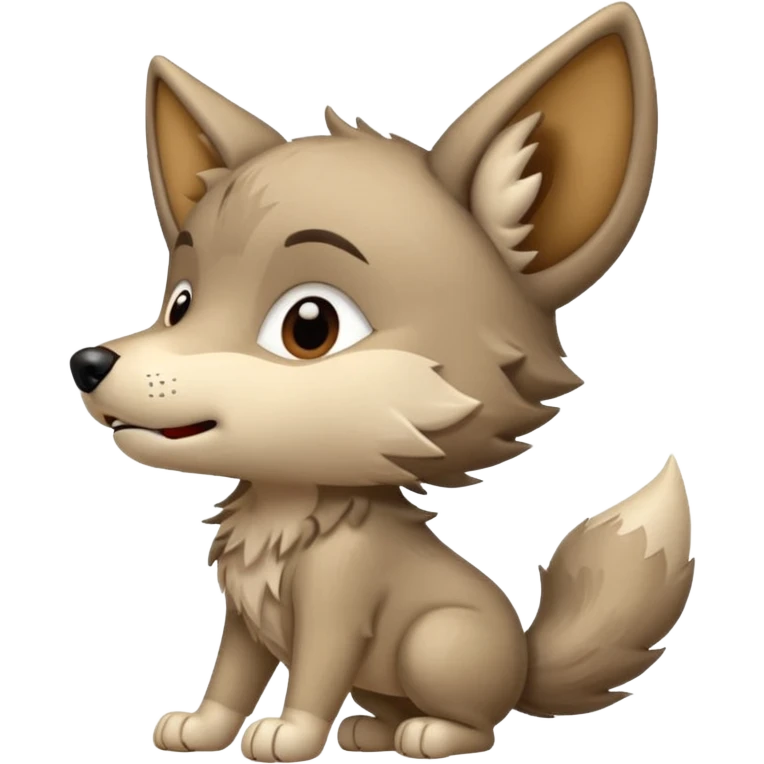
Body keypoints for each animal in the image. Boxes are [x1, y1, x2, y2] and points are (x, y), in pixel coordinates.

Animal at [69, 3, 691, 761]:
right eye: (180, 303)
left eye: (310, 325)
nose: (89, 364)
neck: (289, 510)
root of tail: (523, 663)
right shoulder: (245, 617)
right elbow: (231, 675)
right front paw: (204, 728)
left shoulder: (340, 607)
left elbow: (313, 674)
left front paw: (290, 735)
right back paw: (374, 730)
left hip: (437, 642)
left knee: (477, 721)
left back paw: (429, 733)